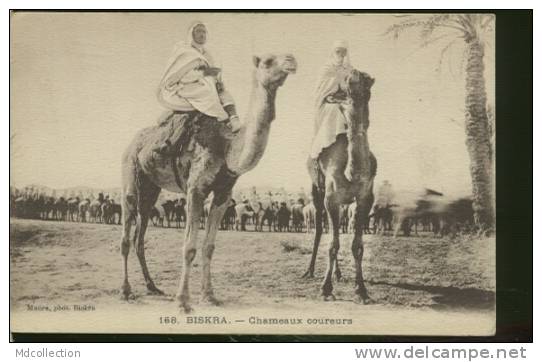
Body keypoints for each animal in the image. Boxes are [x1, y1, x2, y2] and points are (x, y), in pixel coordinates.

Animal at [120, 52, 298, 312]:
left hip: (151, 188)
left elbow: (209, 247)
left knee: (139, 237)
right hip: (131, 174)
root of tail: (132, 142)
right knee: (126, 232)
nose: (291, 60)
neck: (227, 147)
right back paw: (126, 291)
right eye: (267, 61)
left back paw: (152, 286)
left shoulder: (224, 194)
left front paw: (210, 295)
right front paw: (183, 302)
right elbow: (189, 247)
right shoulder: (196, 189)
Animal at [302, 69, 378, 304]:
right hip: (316, 191)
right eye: (345, 90)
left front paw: (361, 290)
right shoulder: (331, 199)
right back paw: (310, 271)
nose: (356, 75)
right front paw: (325, 289)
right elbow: (332, 244)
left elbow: (357, 246)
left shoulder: (365, 199)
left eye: (368, 90)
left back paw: (338, 274)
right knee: (320, 229)